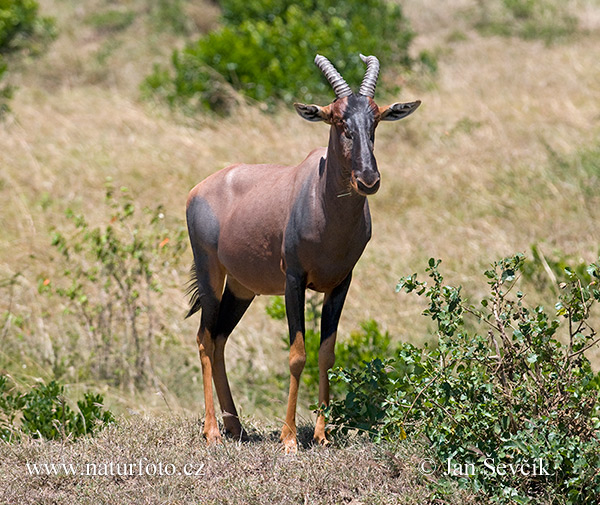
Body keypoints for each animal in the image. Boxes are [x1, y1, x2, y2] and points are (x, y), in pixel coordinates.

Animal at [185, 53, 420, 450]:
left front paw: (323, 435)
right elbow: (297, 354)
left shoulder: (340, 284)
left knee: (219, 338)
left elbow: (327, 353)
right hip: (210, 274)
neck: (322, 202)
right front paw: (289, 439)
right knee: (204, 338)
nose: (368, 180)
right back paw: (213, 431)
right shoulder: (293, 281)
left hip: (242, 287)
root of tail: (200, 188)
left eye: (375, 119)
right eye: (338, 120)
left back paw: (236, 427)